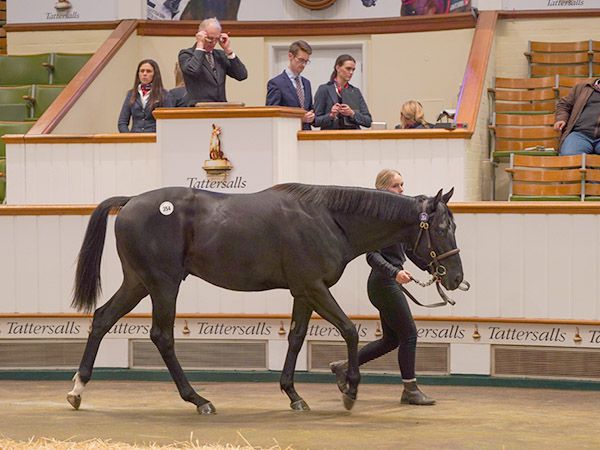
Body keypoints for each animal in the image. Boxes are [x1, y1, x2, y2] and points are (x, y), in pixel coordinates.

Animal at [69, 183, 464, 414]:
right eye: (443, 228)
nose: (456, 278)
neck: (328, 218)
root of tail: (130, 202)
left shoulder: (303, 291)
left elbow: (296, 338)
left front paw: (294, 395)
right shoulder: (315, 287)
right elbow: (350, 330)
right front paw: (349, 389)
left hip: (138, 282)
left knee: (102, 318)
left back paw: (77, 389)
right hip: (163, 284)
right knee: (161, 336)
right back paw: (198, 400)